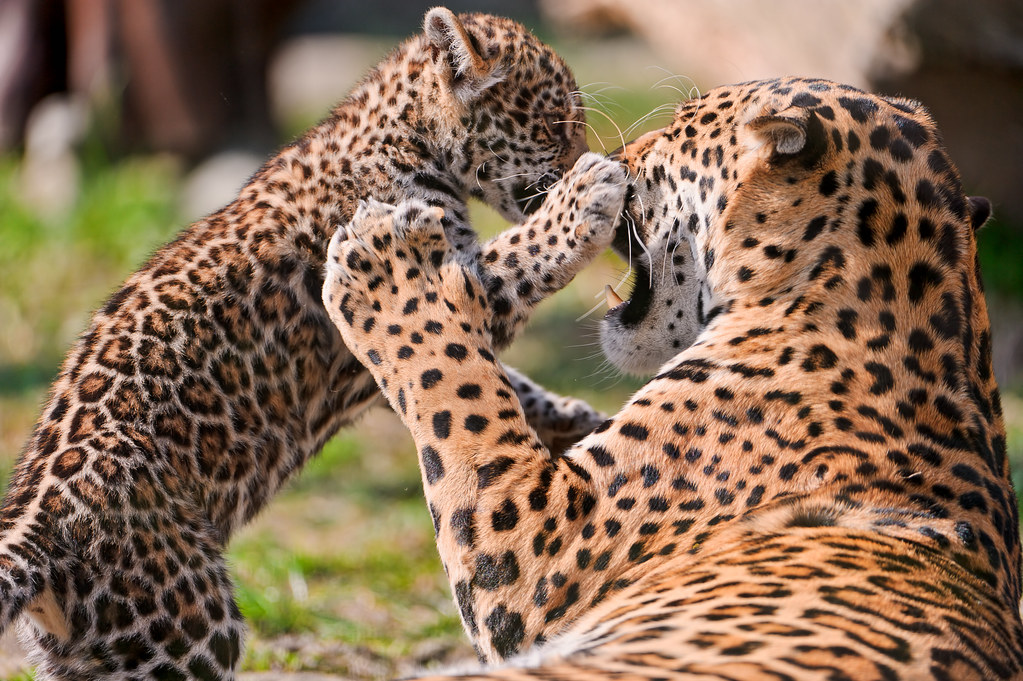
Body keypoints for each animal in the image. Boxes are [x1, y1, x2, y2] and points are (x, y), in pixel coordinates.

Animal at [0, 7, 630, 674]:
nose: (592, 156)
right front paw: (586, 197)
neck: (400, 133)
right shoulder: (439, 279)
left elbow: (482, 376)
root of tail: (34, 531)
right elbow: (514, 262)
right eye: (558, 124)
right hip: (187, 630)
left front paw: (570, 417)